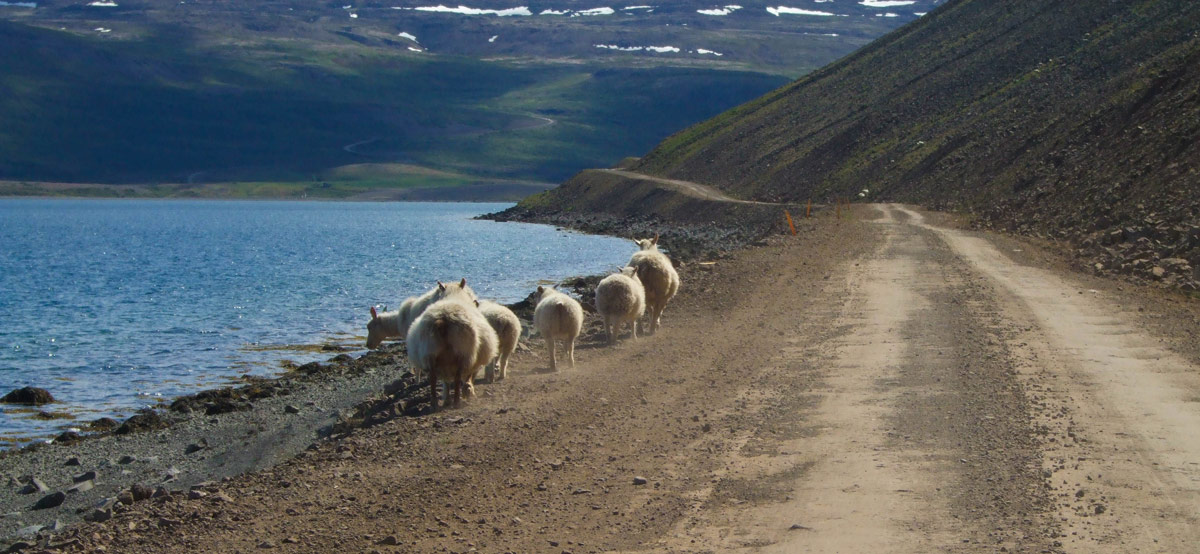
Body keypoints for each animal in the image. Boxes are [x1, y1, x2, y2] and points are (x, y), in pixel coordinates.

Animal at [405, 279, 494, 410]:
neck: (454, 294)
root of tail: (442, 319)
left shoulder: (444, 364)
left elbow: (446, 382)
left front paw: (447, 399)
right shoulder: (472, 358)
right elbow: (468, 376)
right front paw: (467, 391)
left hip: (430, 354)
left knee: (433, 378)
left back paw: (434, 403)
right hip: (463, 353)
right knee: (457, 377)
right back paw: (457, 401)